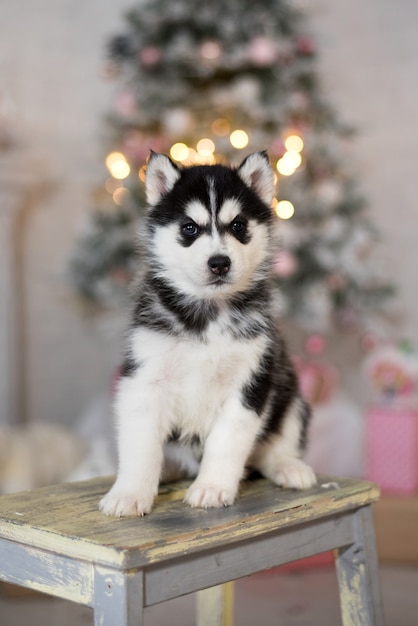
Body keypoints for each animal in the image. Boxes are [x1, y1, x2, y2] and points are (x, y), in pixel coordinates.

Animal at [99, 151, 314, 516]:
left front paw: (212, 487)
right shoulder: (144, 379)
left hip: (291, 394)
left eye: (238, 225)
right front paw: (129, 493)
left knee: (274, 445)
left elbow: (226, 441)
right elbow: (141, 445)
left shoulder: (251, 379)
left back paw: (289, 467)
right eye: (189, 227)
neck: (208, 313)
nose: (219, 262)